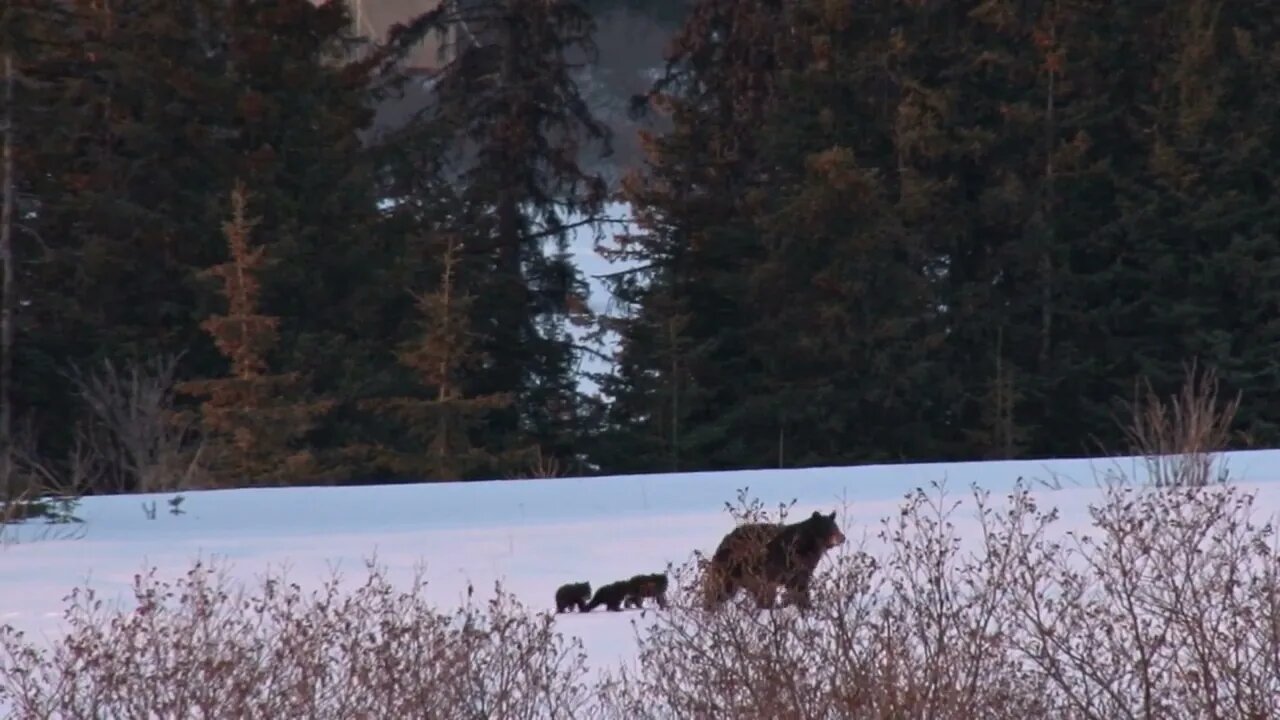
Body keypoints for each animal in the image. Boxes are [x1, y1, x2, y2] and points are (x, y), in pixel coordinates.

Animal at [706, 507, 844, 607]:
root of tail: (723, 542)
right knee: (722, 589)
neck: (811, 543)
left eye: (836, 526)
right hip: (739, 567)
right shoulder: (792, 558)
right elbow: (798, 583)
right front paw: (805, 604)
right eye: (828, 527)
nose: (842, 537)